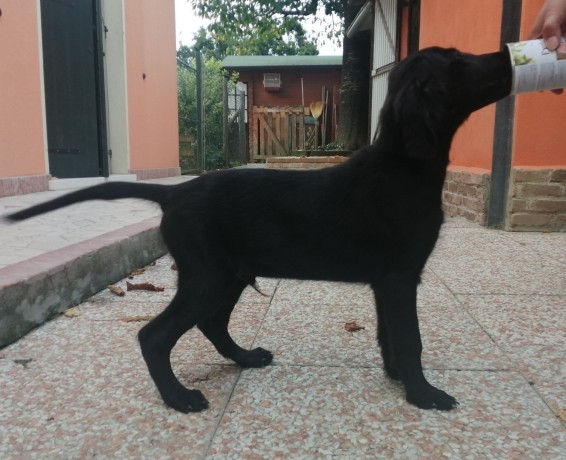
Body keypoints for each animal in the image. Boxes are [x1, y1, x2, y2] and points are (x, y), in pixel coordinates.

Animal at [5, 46, 516, 414]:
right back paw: (179, 398)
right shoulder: (399, 277)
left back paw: (245, 358)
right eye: (457, 60)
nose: (506, 55)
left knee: (211, 323)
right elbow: (410, 338)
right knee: (155, 335)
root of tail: (175, 193)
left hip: (228, 274)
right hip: (207, 276)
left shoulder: (387, 282)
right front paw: (424, 394)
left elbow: (389, 334)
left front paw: (398, 379)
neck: (403, 165)